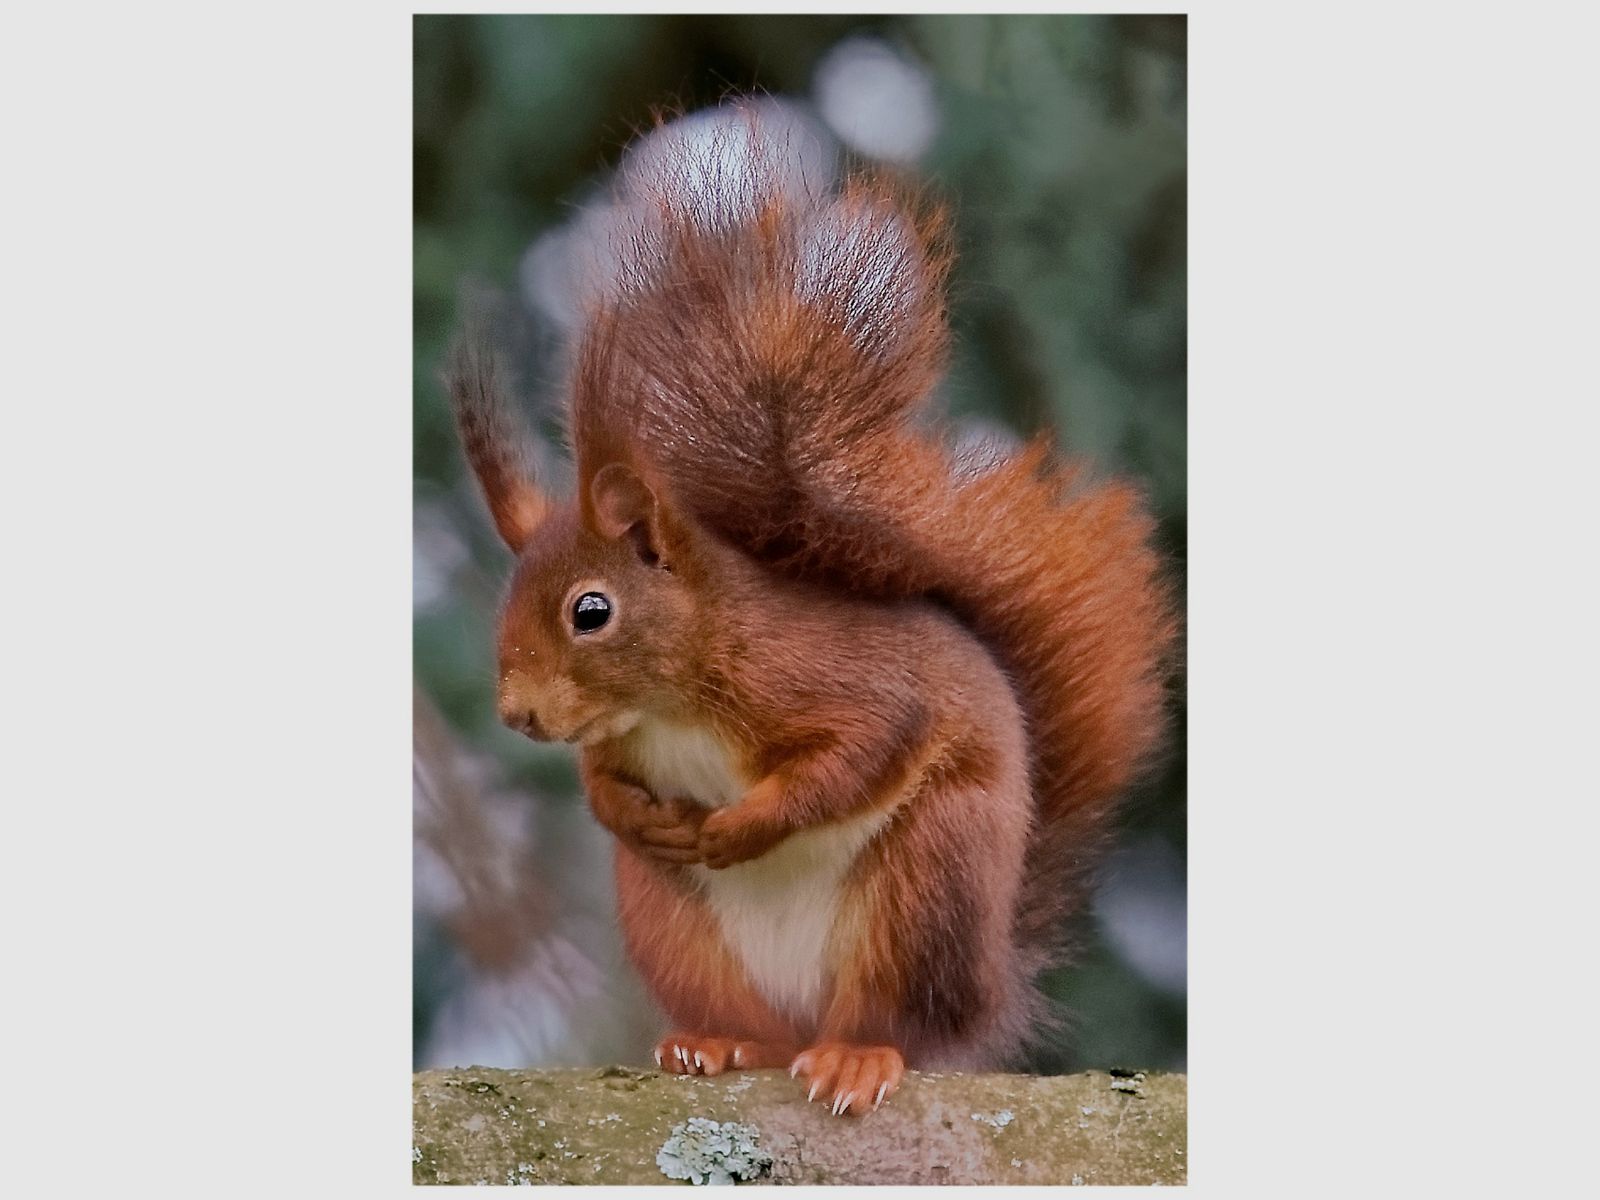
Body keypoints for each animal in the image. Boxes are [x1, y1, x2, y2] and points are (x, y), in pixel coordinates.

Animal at [449, 108, 1176, 1117]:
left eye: (590, 611)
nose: (517, 714)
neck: (673, 701)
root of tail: (987, 992)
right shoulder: (621, 742)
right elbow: (602, 783)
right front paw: (634, 813)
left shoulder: (829, 680)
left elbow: (854, 755)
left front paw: (739, 826)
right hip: (675, 925)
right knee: (755, 1023)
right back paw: (717, 1042)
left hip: (927, 885)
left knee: (890, 1020)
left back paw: (856, 1057)